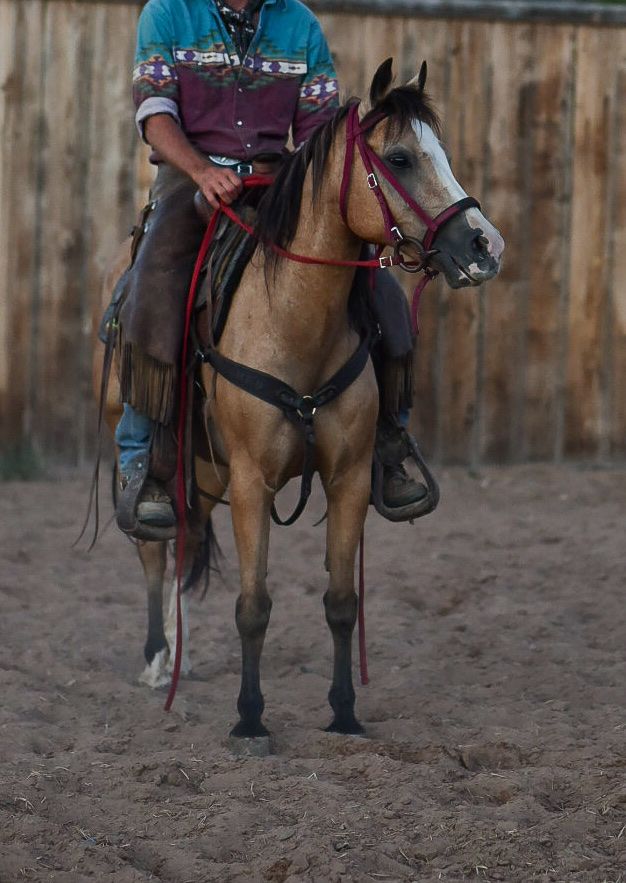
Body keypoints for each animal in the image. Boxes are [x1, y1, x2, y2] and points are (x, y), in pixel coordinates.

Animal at [94, 58, 504, 742]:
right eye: (399, 157)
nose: (484, 246)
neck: (293, 320)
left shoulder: (348, 479)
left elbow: (341, 602)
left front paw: (344, 713)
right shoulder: (252, 481)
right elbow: (253, 605)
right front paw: (250, 720)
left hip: (203, 470)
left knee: (185, 547)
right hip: (170, 461)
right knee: (156, 544)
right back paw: (157, 660)